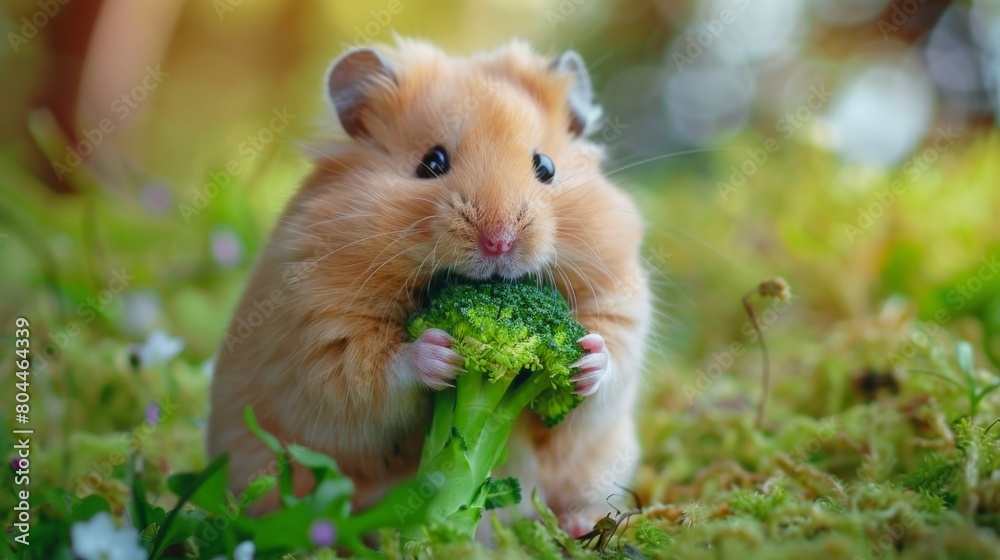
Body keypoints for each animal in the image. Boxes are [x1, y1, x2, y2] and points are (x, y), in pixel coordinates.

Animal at [206, 38, 651, 536]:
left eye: (547, 167)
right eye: (431, 163)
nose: (499, 241)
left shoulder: (620, 300)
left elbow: (611, 360)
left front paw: (586, 358)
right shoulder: (318, 334)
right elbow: (371, 374)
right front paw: (440, 352)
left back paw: (576, 525)